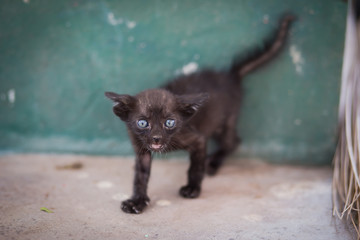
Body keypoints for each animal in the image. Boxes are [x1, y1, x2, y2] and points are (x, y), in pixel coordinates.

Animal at [105, 15, 296, 214]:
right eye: (142, 123)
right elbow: (140, 177)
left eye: (170, 122)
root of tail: (230, 76)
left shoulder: (197, 139)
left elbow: (195, 168)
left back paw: (211, 164)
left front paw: (193, 188)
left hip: (226, 120)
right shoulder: (141, 150)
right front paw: (137, 201)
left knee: (233, 142)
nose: (156, 138)